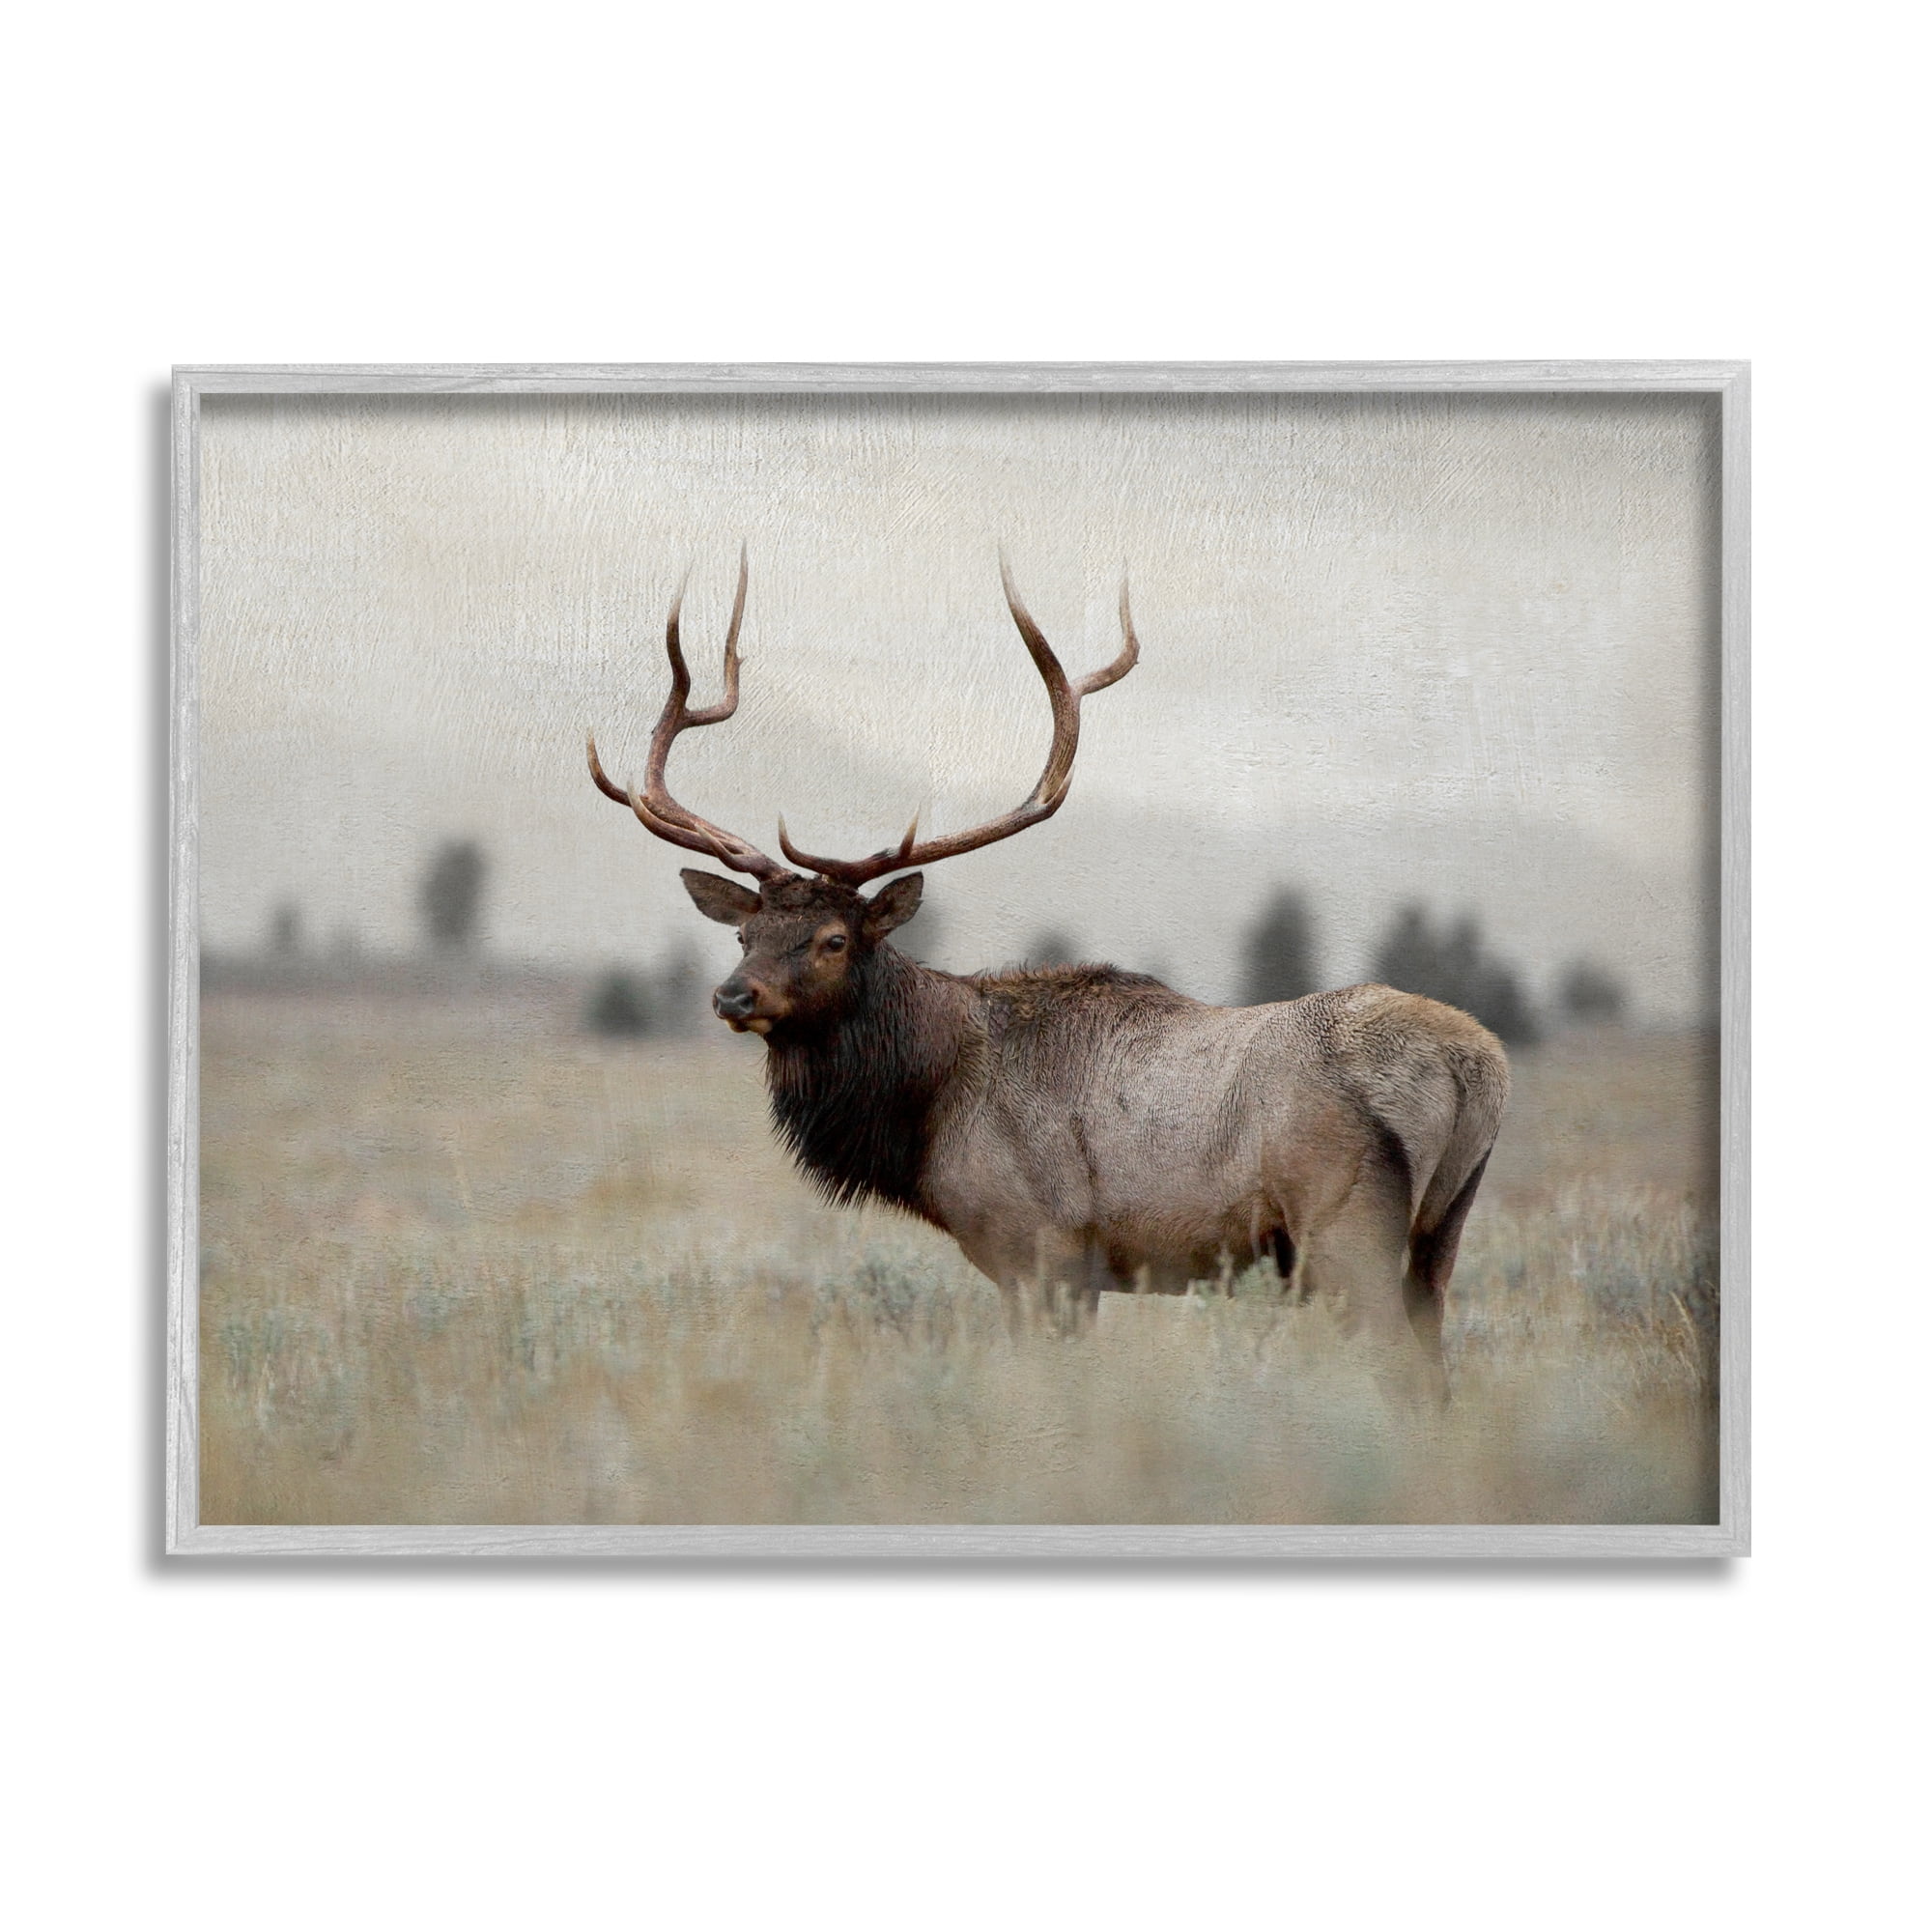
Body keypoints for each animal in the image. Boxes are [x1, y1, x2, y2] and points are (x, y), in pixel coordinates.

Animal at [588, 553, 1509, 1394]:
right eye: (744, 934)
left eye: (833, 939)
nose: (732, 995)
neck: (931, 1103)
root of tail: (1476, 1066)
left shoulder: (1040, 1247)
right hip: (1440, 1234)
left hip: (1346, 1228)